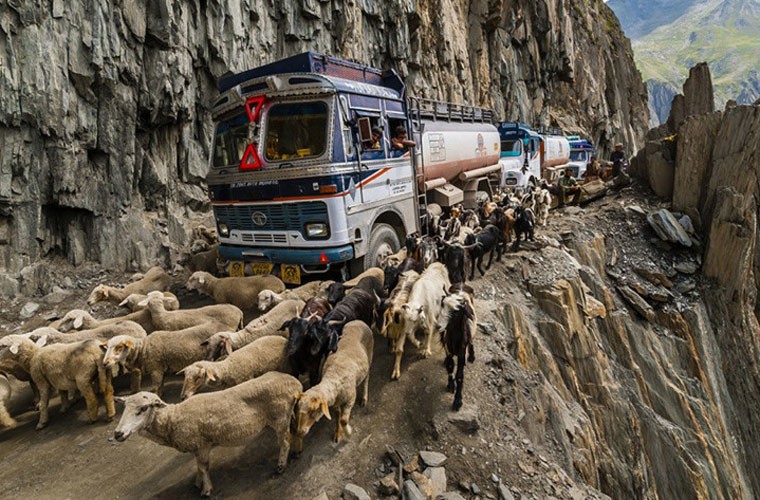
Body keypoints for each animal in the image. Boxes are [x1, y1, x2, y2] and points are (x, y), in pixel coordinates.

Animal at [113, 372, 302, 496]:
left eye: (143, 408)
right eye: (125, 408)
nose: (117, 434)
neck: (171, 419)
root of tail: (294, 382)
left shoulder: (201, 445)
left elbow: (203, 467)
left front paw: (206, 489)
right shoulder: (196, 447)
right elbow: (198, 466)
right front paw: (198, 483)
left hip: (280, 417)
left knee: (285, 441)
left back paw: (281, 466)